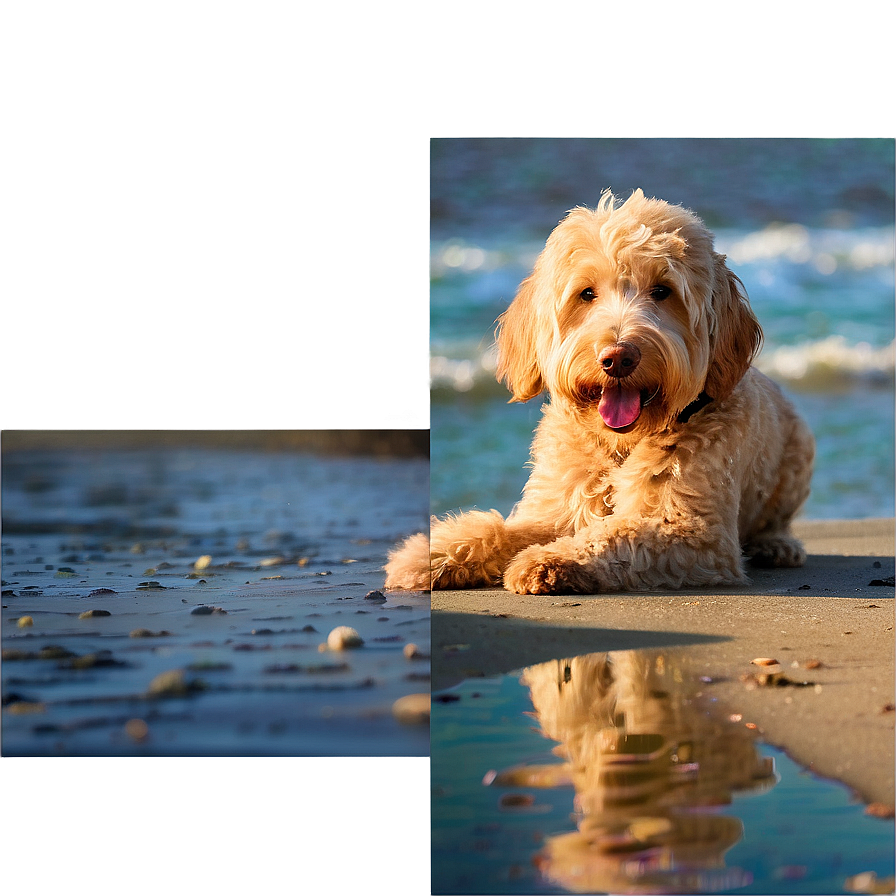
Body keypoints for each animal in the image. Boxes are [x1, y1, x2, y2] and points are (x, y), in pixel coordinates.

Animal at [384, 190, 812, 596]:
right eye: (586, 293)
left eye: (662, 290)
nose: (618, 358)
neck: (619, 446)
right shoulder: (555, 509)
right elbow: (498, 529)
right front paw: (428, 554)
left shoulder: (694, 533)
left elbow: (616, 534)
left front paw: (550, 560)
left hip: (798, 457)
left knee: (776, 520)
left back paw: (777, 545)